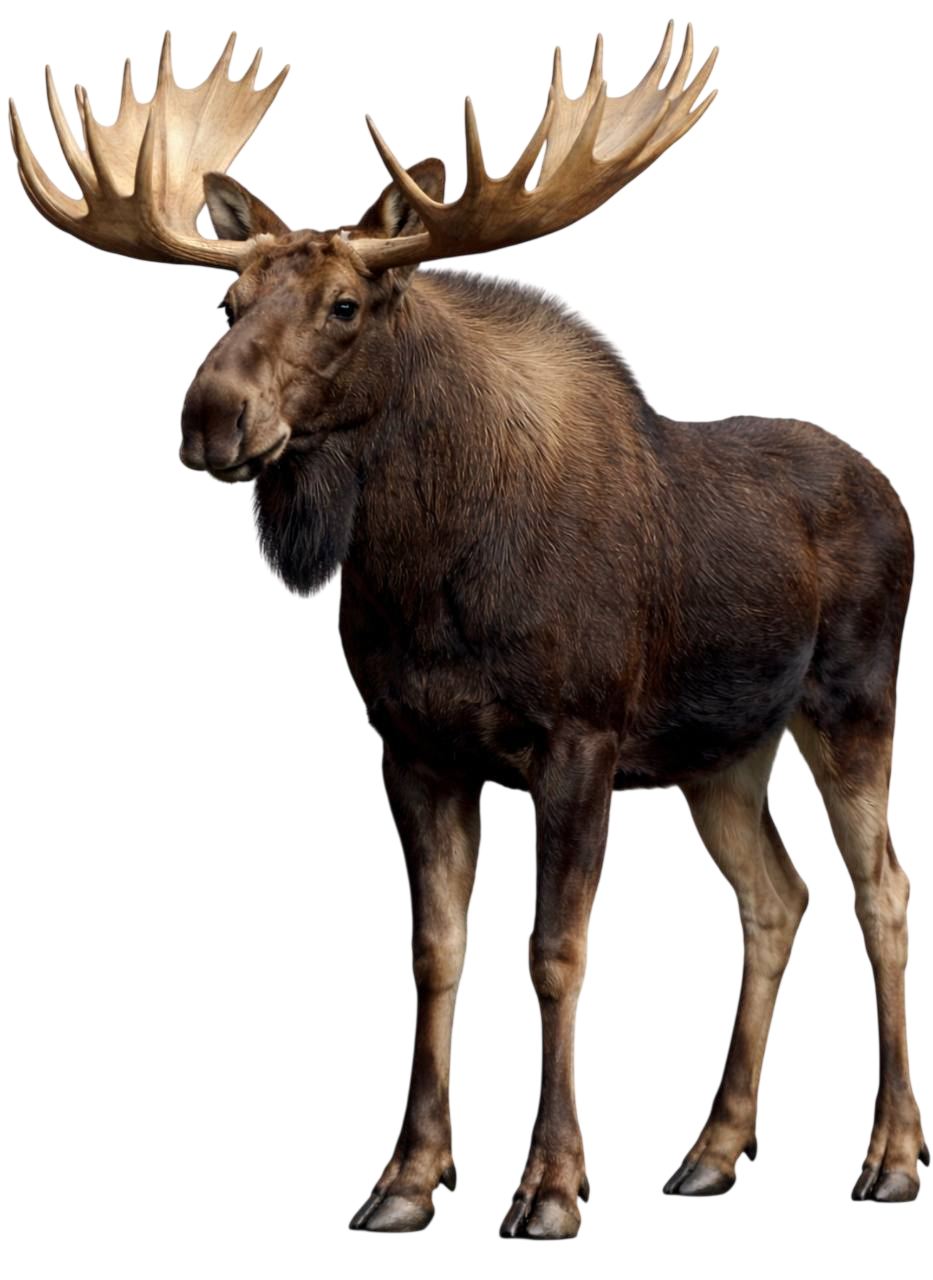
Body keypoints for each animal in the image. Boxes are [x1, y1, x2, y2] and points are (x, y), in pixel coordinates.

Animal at [9, 21, 926, 1235]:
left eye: (345, 304)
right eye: (227, 300)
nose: (210, 418)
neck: (427, 575)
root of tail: (893, 494)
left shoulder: (579, 736)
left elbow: (555, 952)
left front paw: (552, 1185)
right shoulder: (413, 745)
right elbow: (437, 949)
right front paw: (406, 1178)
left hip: (851, 699)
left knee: (883, 890)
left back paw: (894, 1155)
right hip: (722, 754)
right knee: (777, 897)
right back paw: (713, 1151)